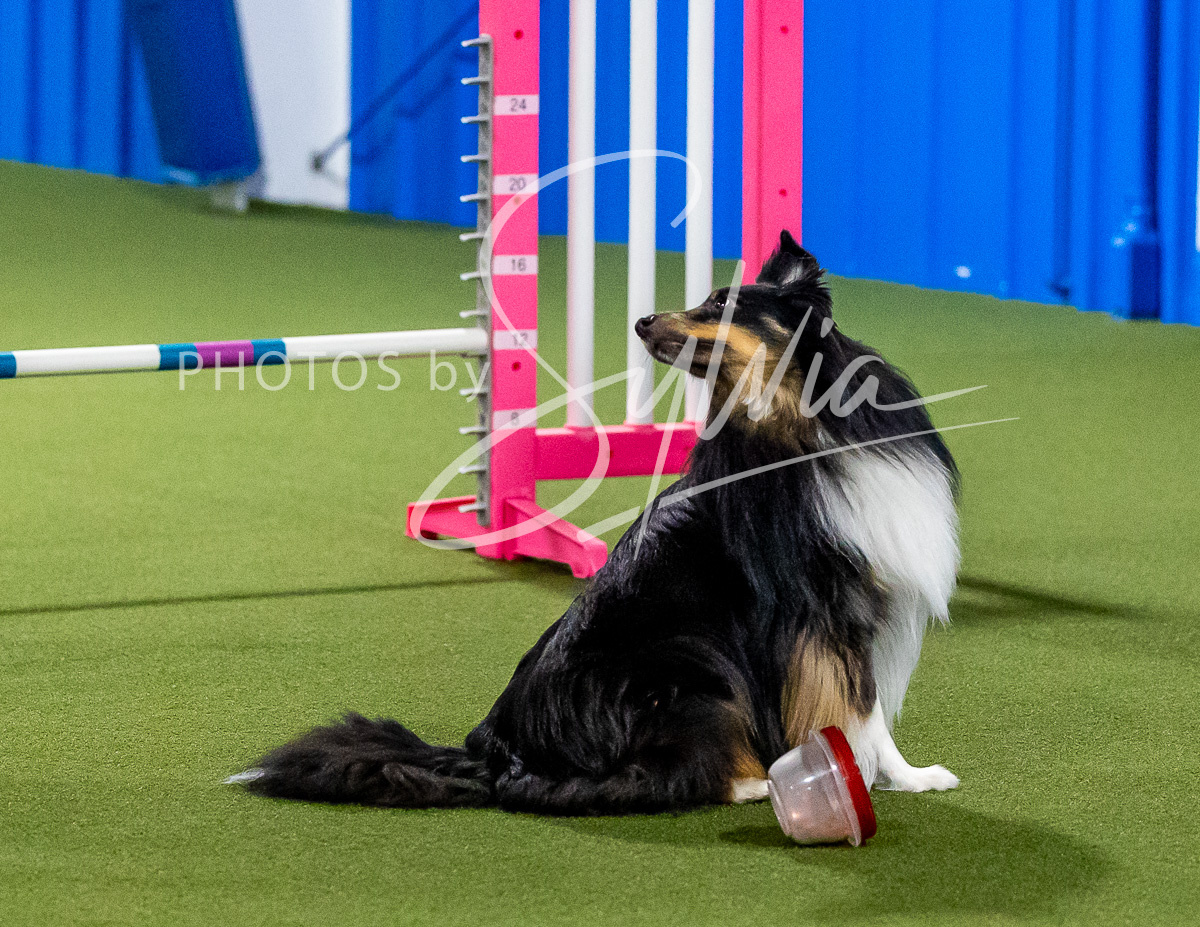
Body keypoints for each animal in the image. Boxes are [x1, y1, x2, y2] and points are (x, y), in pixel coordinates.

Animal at [229, 230, 961, 813]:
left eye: (718, 305)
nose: (641, 320)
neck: (803, 420)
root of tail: (494, 750)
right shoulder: (819, 611)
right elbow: (857, 707)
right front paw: (860, 777)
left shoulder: (855, 606)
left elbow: (870, 711)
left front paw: (907, 776)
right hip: (695, 666)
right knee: (650, 777)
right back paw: (755, 780)